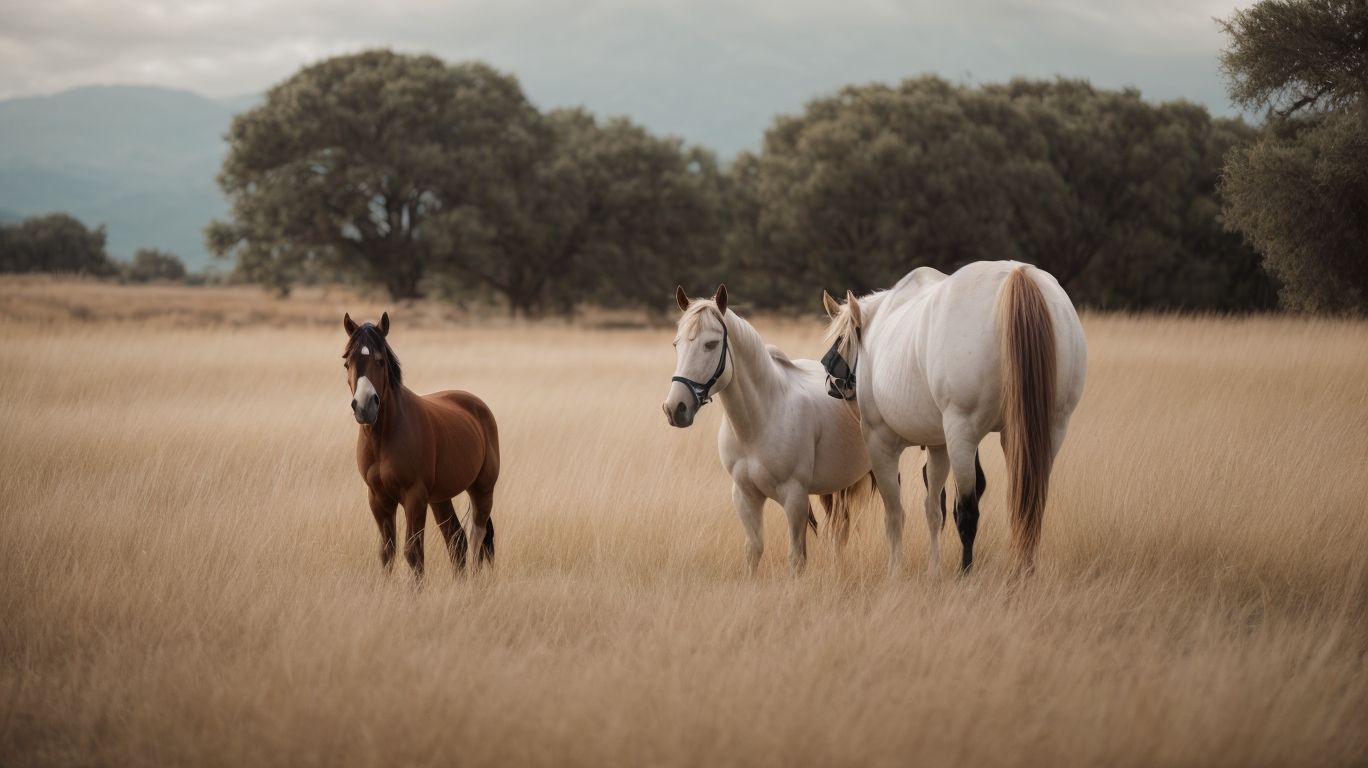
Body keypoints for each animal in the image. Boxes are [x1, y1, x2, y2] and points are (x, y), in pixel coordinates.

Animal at [342, 312, 500, 578]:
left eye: (380, 360)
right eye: (347, 362)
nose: (364, 406)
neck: (384, 438)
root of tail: (478, 406)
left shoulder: (414, 497)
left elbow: (413, 553)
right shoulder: (378, 498)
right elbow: (387, 553)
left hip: (482, 489)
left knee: (477, 539)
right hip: (440, 498)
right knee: (456, 539)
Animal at [663, 285, 874, 575]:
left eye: (710, 344)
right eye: (677, 344)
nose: (675, 408)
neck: (760, 421)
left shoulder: (795, 499)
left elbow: (796, 558)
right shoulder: (745, 496)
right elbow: (754, 551)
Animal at [820, 261, 1086, 576]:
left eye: (840, 341)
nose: (831, 385)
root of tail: (1017, 274)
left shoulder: (879, 441)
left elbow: (895, 514)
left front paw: (895, 570)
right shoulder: (939, 446)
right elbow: (934, 508)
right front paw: (933, 569)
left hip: (963, 432)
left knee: (968, 510)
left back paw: (966, 571)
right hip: (1043, 430)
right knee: (1028, 501)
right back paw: (1023, 567)